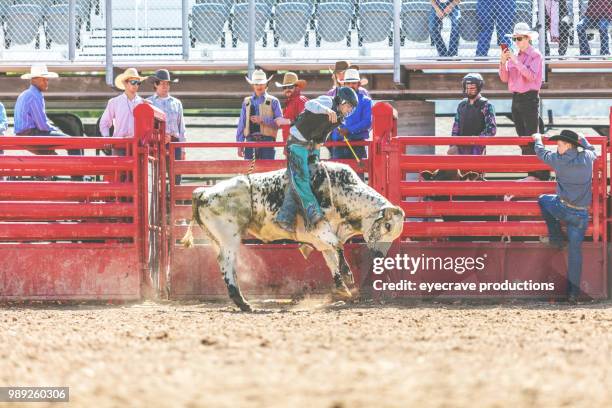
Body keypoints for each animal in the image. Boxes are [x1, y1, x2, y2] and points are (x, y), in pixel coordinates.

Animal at [179, 161, 404, 310]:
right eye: (387, 225)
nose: (379, 257)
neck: (342, 191)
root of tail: (204, 192)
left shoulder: (322, 238)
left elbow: (331, 258)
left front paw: (342, 289)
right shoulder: (319, 229)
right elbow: (338, 245)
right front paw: (348, 275)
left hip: (218, 239)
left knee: (227, 265)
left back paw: (242, 301)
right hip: (229, 238)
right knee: (226, 264)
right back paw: (243, 303)